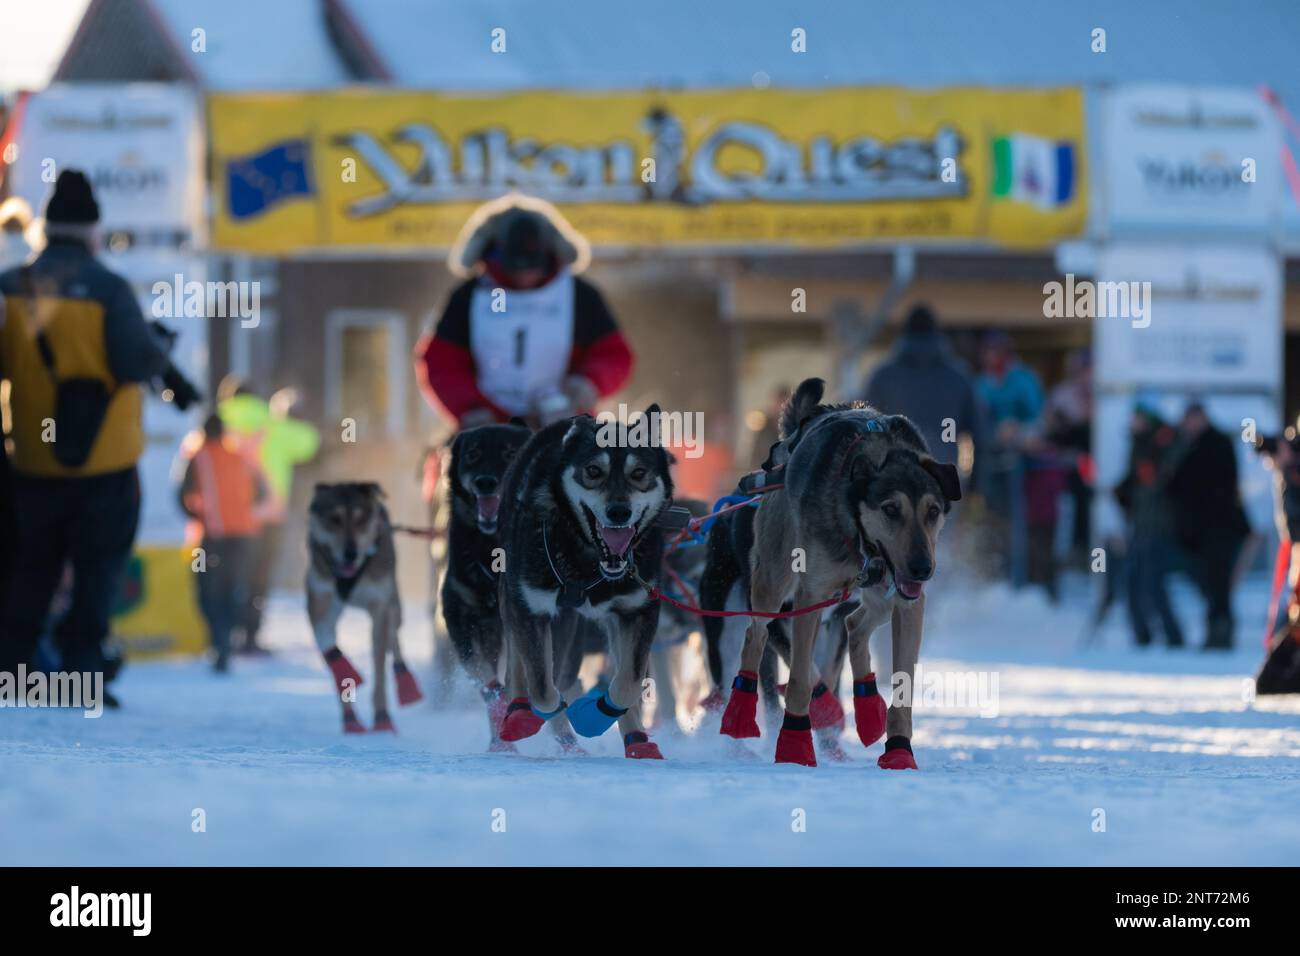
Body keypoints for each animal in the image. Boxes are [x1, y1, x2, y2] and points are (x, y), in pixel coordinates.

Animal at [306, 481, 423, 738]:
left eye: (361, 520)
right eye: (334, 518)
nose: (351, 553)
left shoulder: (380, 605)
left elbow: (379, 667)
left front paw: (382, 720)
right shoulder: (319, 602)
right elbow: (327, 643)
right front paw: (345, 672)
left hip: (394, 604)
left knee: (393, 641)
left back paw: (406, 684)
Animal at [493, 408, 676, 759]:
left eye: (639, 472)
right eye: (593, 471)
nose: (619, 512)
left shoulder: (638, 609)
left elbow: (628, 683)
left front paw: (595, 716)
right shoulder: (530, 607)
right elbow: (542, 688)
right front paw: (533, 712)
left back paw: (637, 742)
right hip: (521, 603)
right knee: (523, 669)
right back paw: (517, 712)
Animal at [717, 382, 961, 770]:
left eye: (933, 511)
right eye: (891, 509)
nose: (923, 568)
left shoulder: (908, 604)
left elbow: (903, 683)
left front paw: (899, 750)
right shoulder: (810, 597)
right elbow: (801, 681)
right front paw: (794, 746)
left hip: (876, 596)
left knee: (855, 625)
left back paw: (868, 708)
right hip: (773, 583)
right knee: (755, 635)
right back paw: (739, 712)